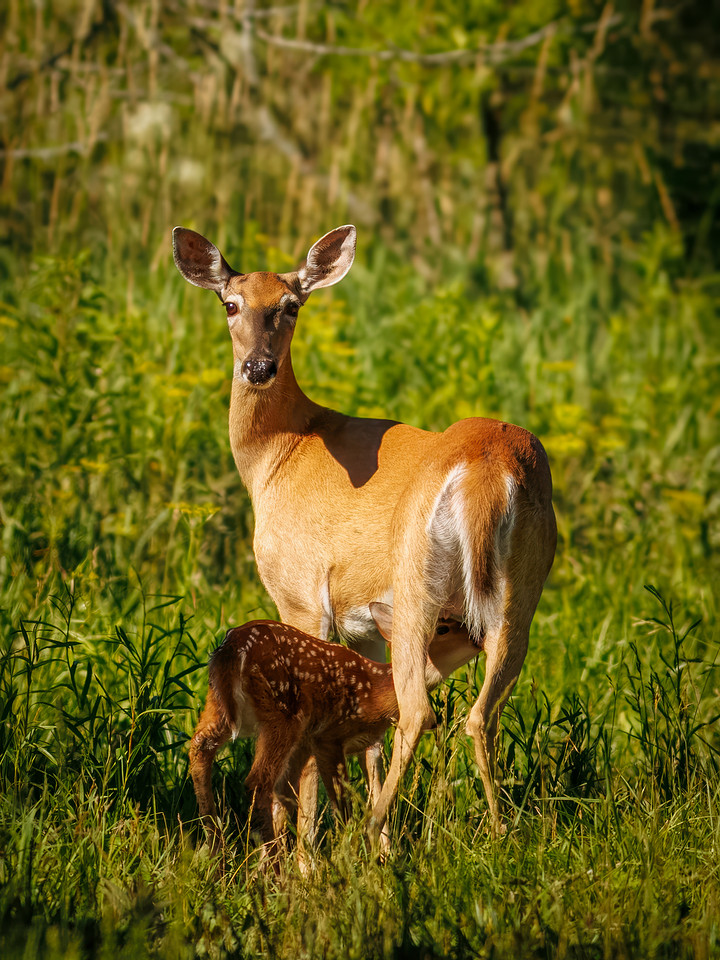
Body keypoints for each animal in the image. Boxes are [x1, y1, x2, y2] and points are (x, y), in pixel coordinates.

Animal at [188, 606, 481, 855]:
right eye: (443, 628)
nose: (478, 636)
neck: (379, 691)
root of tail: (232, 647)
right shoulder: (328, 735)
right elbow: (342, 805)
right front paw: (351, 857)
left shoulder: (306, 745)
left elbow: (286, 799)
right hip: (283, 711)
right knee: (257, 781)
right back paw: (271, 867)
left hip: (221, 706)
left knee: (200, 746)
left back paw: (217, 849)